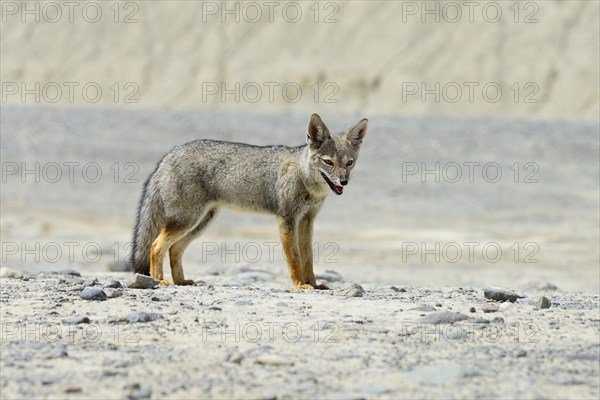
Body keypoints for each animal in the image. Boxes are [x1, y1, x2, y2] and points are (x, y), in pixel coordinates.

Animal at [131, 114, 366, 290]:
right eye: (328, 162)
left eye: (349, 163)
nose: (343, 181)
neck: (304, 178)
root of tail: (170, 154)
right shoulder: (287, 219)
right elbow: (294, 258)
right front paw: (300, 285)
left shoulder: (307, 221)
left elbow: (307, 258)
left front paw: (315, 285)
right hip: (186, 220)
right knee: (155, 246)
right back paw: (159, 281)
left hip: (200, 222)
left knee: (174, 249)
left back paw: (181, 281)